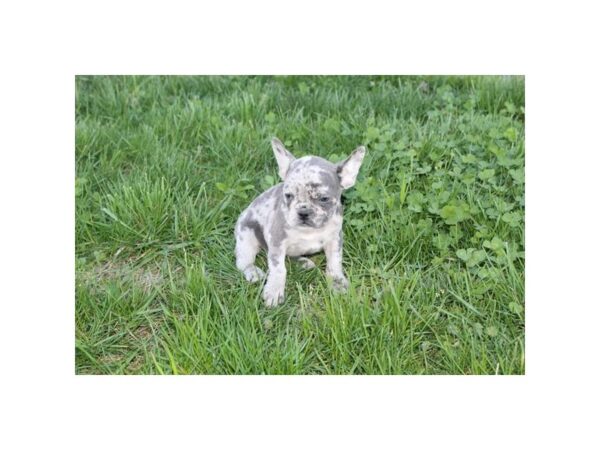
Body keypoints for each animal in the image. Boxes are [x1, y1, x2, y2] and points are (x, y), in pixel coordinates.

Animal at [234, 137, 366, 306]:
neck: (309, 230)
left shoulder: (335, 240)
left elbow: (334, 262)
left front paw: (337, 282)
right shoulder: (277, 242)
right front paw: (274, 290)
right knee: (243, 262)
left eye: (323, 199)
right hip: (247, 236)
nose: (303, 212)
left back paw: (303, 262)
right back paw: (253, 272)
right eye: (288, 195)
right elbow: (278, 269)